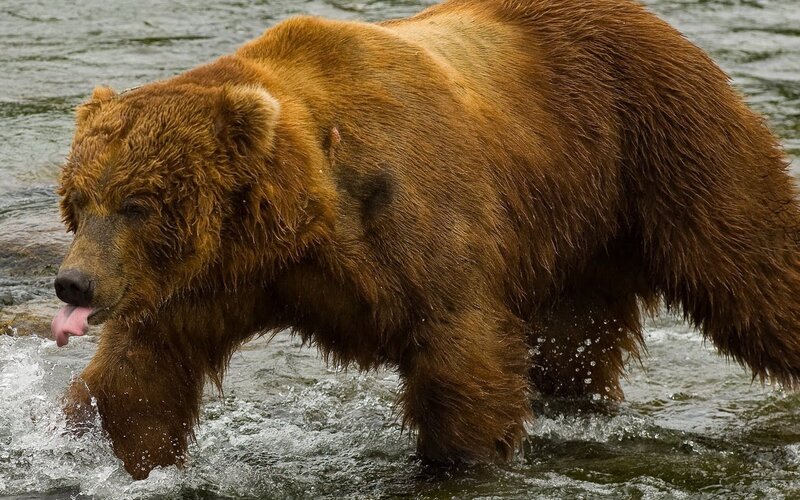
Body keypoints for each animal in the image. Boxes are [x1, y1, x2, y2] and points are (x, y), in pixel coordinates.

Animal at [53, 0, 800, 480]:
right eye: (79, 203)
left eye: (138, 204)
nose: (73, 283)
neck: (304, 212)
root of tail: (653, 22)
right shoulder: (211, 278)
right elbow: (142, 374)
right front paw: (127, 457)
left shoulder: (414, 225)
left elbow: (461, 357)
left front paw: (458, 461)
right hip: (574, 233)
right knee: (572, 344)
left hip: (666, 147)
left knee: (755, 271)